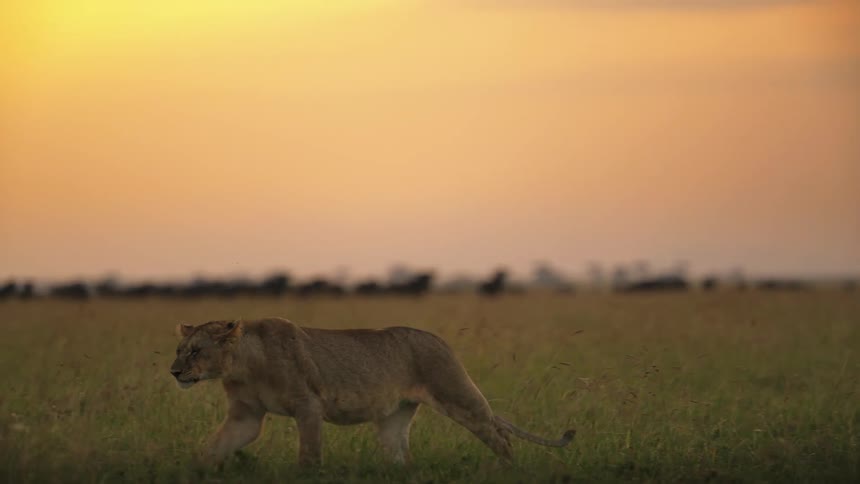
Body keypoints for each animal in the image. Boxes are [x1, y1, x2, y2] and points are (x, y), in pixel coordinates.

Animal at [170, 318, 574, 466]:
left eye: (196, 351)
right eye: (179, 350)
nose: (174, 372)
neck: (243, 366)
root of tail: (440, 339)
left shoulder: (308, 406)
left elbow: (309, 456)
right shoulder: (246, 416)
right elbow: (215, 447)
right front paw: (196, 471)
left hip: (458, 394)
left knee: (499, 433)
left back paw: (508, 467)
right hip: (394, 417)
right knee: (399, 452)